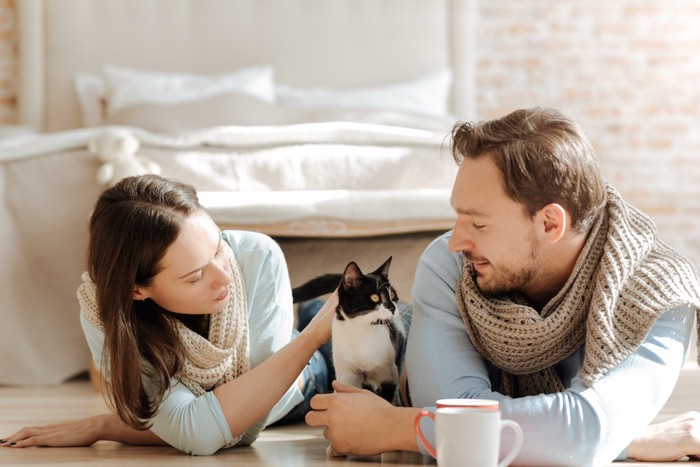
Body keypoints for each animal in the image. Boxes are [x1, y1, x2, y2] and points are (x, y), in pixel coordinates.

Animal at [292, 256, 408, 406]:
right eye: (375, 297)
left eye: (392, 294)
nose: (393, 308)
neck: (362, 330)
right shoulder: (346, 377)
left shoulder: (388, 374)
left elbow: (388, 401)